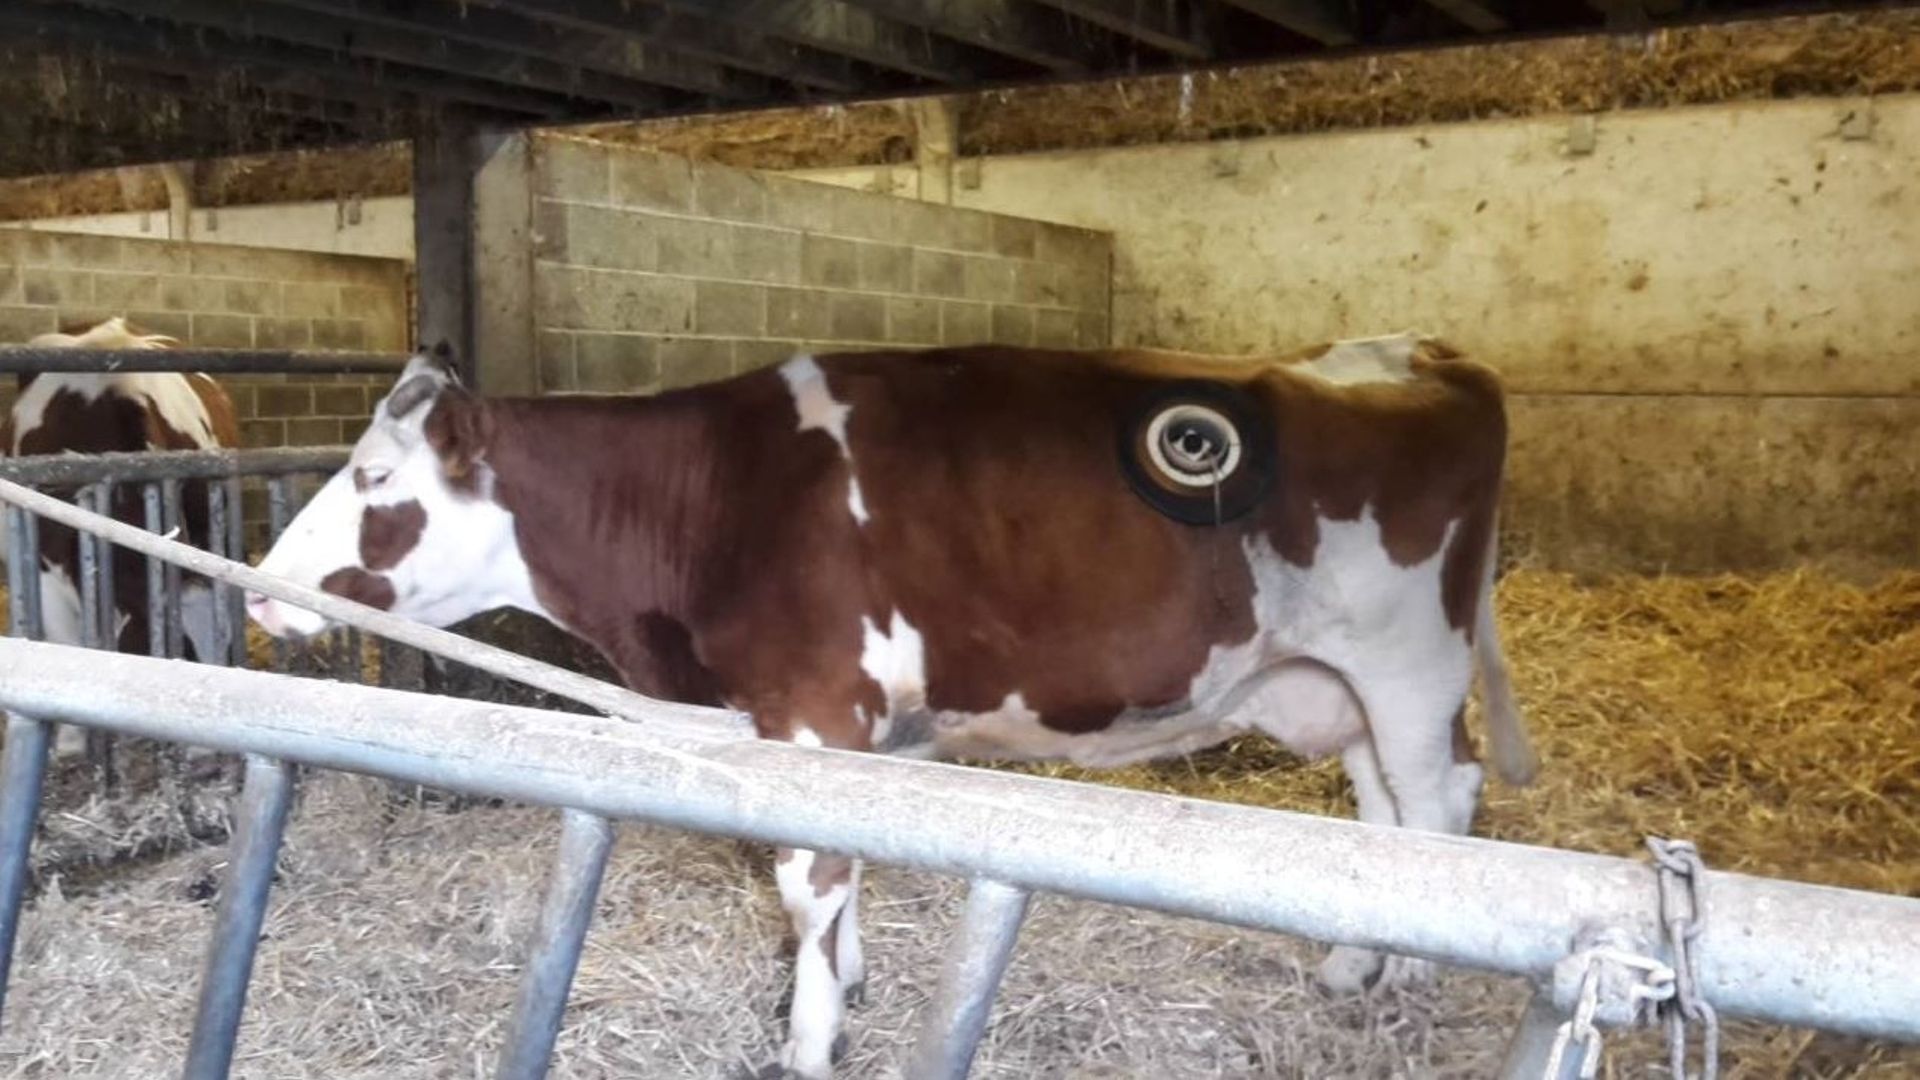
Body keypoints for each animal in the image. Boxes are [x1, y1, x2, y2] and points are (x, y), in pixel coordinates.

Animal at [246, 333, 1538, 1079]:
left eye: (372, 478)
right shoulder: (833, 727)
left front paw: (812, 1039)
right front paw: (847, 985)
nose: (257, 589)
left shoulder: (811, 704)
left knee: (1437, 801)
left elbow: (809, 878)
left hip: (1408, 663)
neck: (717, 498)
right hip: (1335, 683)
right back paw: (1350, 972)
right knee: (1385, 818)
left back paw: (1410, 994)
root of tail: (1409, 351)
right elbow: (842, 867)